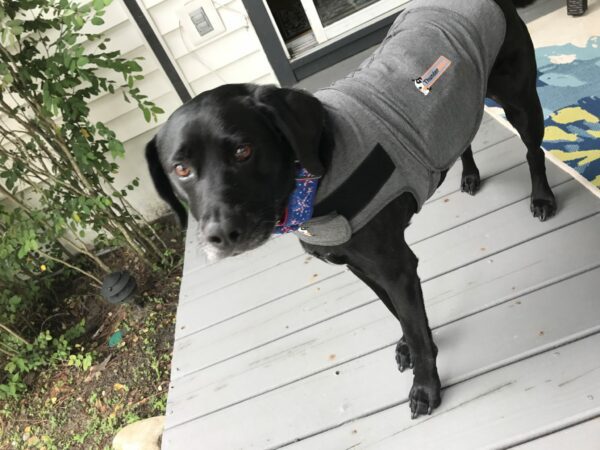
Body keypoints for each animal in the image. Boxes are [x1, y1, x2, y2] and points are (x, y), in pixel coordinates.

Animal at [145, 0, 556, 418]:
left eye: (244, 150)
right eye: (181, 169)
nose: (221, 235)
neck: (315, 179)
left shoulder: (396, 267)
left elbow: (415, 330)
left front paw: (425, 386)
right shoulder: (360, 268)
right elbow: (399, 315)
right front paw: (410, 345)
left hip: (520, 100)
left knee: (533, 151)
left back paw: (542, 198)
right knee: (465, 139)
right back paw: (470, 175)